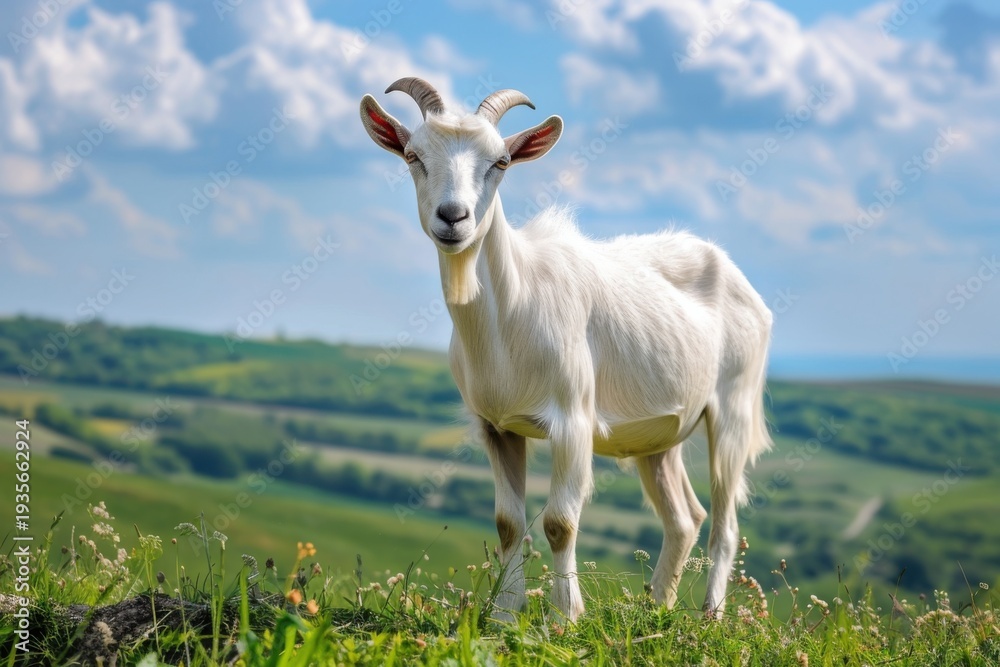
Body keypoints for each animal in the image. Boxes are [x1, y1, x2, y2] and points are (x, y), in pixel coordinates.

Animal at [360, 78, 772, 622]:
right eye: (413, 155)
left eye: (500, 162)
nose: (454, 217)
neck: (510, 317)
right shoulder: (495, 426)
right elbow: (508, 523)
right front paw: (503, 616)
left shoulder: (573, 420)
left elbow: (560, 522)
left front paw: (565, 618)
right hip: (659, 436)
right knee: (685, 517)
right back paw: (656, 610)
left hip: (732, 410)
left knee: (726, 524)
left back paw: (710, 619)